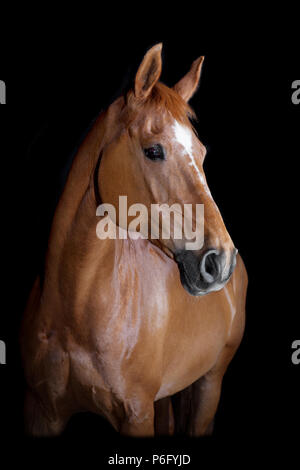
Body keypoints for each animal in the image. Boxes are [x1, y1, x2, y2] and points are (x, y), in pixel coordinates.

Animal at [20, 44, 246, 436]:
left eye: (202, 154)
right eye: (153, 150)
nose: (220, 261)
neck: (74, 309)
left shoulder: (136, 414)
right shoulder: (41, 411)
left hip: (209, 384)